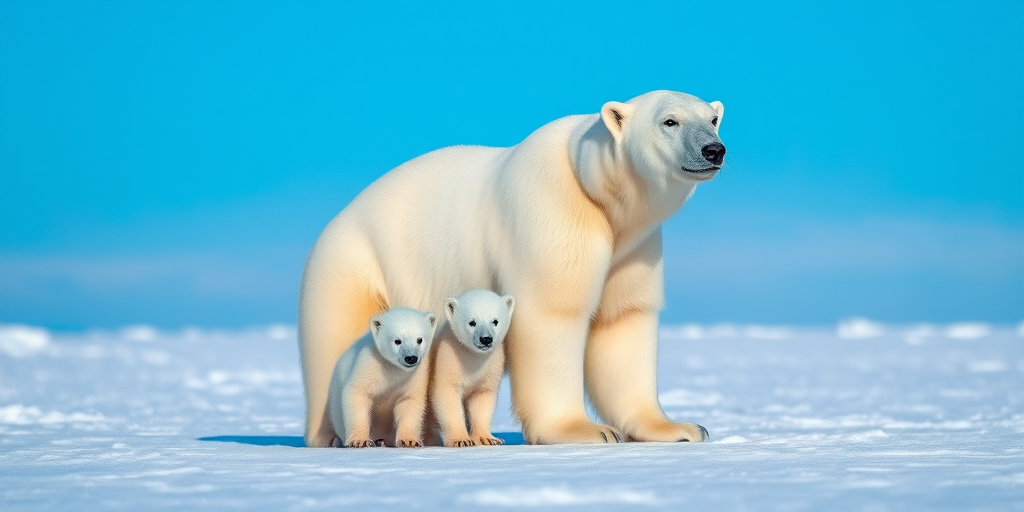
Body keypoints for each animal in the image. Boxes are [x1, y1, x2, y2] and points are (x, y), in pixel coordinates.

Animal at [326, 308, 437, 448]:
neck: (393, 368)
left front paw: (409, 441)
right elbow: (357, 393)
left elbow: (409, 402)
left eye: (419, 340)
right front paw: (360, 441)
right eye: (397, 341)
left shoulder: (416, 376)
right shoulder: (368, 364)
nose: (411, 358)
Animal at [425, 289, 515, 447]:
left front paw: (488, 439)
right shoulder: (448, 360)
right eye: (472, 322)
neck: (472, 358)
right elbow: (447, 396)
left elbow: (482, 398)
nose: (486, 339)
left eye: (495, 321)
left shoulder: (491, 367)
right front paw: (461, 440)